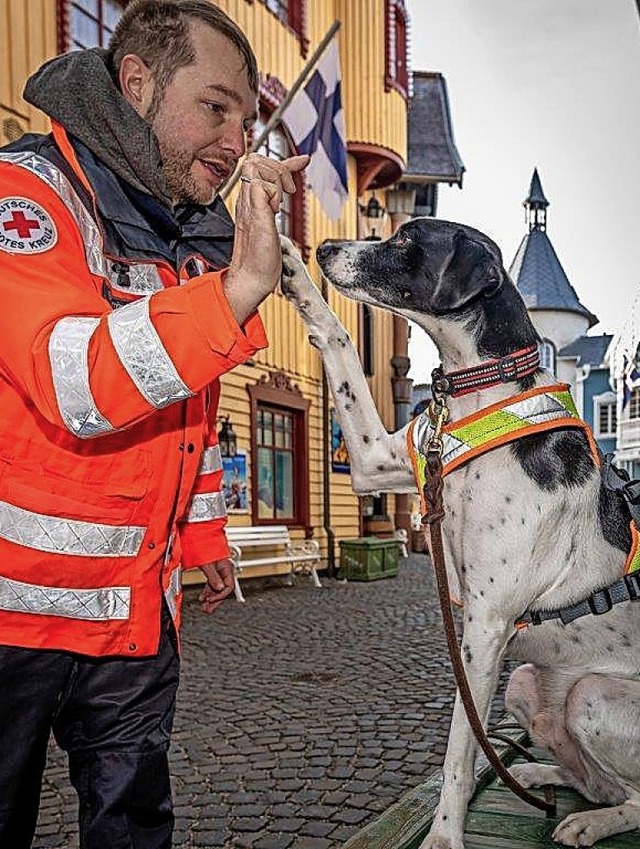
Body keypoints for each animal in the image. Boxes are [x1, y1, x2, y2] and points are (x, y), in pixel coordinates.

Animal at [282, 219, 640, 848]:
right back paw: (541, 776)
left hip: (591, 696)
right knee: (598, 782)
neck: (485, 393)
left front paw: (444, 834)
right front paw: (287, 264)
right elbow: (339, 340)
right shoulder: (375, 462)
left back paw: (592, 823)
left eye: (406, 241)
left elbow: (458, 748)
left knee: (635, 799)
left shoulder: (484, 627)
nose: (324, 248)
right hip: (525, 686)